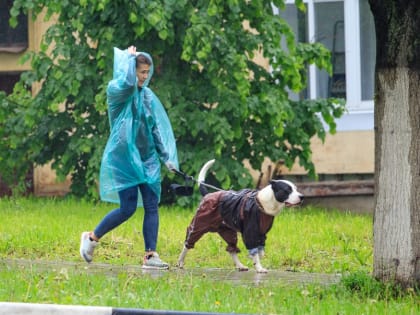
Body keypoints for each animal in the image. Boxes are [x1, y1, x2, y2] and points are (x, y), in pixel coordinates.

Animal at [176, 160, 304, 274]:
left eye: (296, 189)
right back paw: (180, 262)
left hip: (228, 232)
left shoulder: (262, 234)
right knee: (187, 243)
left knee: (232, 249)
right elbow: (255, 252)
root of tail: (208, 195)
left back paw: (240, 266)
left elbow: (260, 251)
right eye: (287, 190)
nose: (302, 196)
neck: (264, 203)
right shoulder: (250, 233)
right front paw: (259, 268)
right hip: (199, 225)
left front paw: (258, 260)